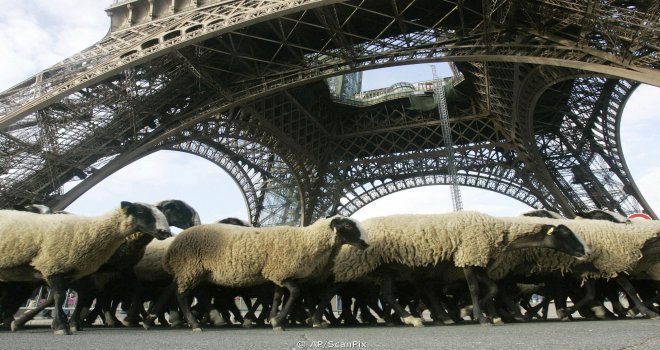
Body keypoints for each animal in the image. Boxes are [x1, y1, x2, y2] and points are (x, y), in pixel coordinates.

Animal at [0, 201, 173, 334]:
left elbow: (75, 297)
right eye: (141, 212)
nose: (165, 231)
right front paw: (63, 325)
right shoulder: (55, 266)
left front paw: (70, 323)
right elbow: (60, 297)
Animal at [160, 215, 366, 332]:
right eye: (348, 226)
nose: (366, 243)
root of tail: (173, 246)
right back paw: (194, 324)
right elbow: (295, 292)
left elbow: (277, 296)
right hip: (190, 269)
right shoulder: (281, 271)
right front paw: (278, 320)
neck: (306, 240)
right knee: (182, 295)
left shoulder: (276, 273)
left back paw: (210, 318)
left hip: (200, 272)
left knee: (196, 293)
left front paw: (275, 320)